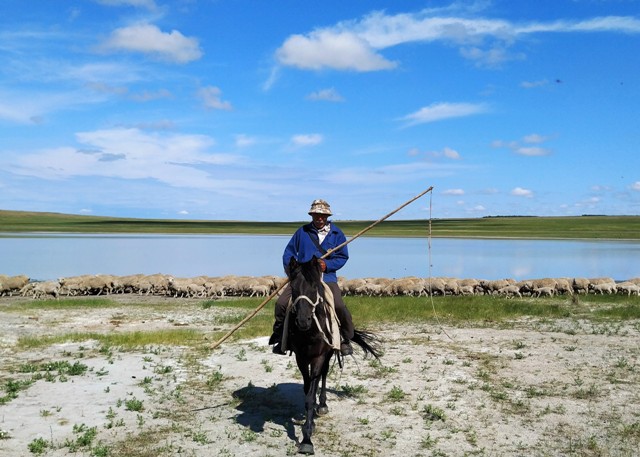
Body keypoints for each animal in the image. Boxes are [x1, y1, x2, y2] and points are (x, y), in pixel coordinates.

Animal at [284, 256, 380, 452]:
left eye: (314, 287)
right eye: (294, 288)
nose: (303, 321)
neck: (310, 331)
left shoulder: (319, 357)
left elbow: (312, 394)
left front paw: (307, 439)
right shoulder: (301, 358)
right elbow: (307, 391)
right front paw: (310, 424)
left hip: (327, 355)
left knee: (324, 374)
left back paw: (323, 405)